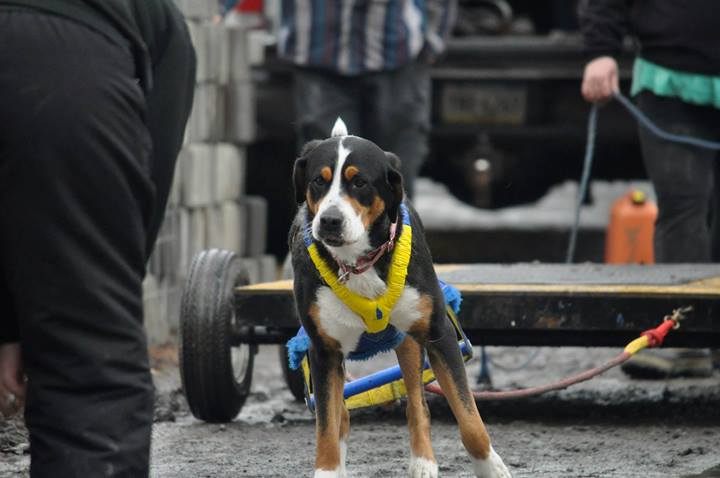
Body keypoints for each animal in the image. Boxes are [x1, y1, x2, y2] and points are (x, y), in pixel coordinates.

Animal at [288, 116, 512, 478]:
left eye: (360, 182)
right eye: (318, 181)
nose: (330, 220)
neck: (359, 262)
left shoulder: (439, 335)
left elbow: (469, 419)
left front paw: (491, 467)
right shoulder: (324, 350)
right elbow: (327, 427)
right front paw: (328, 470)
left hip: (409, 339)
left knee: (417, 404)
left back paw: (423, 462)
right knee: (342, 416)